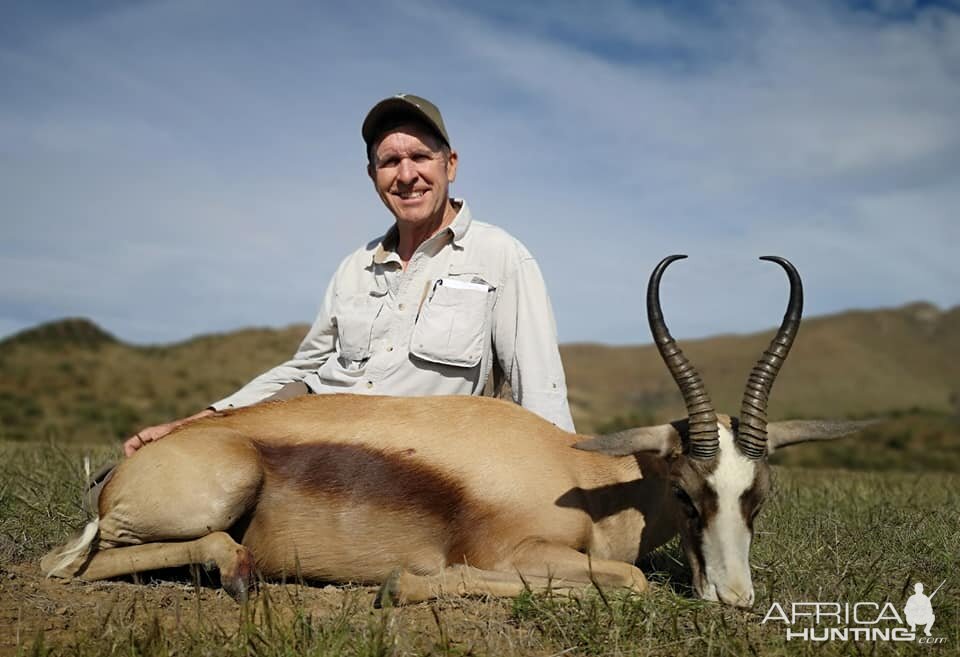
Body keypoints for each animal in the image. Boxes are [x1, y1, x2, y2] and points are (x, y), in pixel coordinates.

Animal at [41, 255, 872, 604]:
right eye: (687, 491)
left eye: (757, 496)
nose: (734, 598)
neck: (586, 482)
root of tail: (118, 472)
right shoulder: (511, 552)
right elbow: (632, 580)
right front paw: (403, 582)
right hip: (216, 492)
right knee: (69, 565)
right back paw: (235, 570)